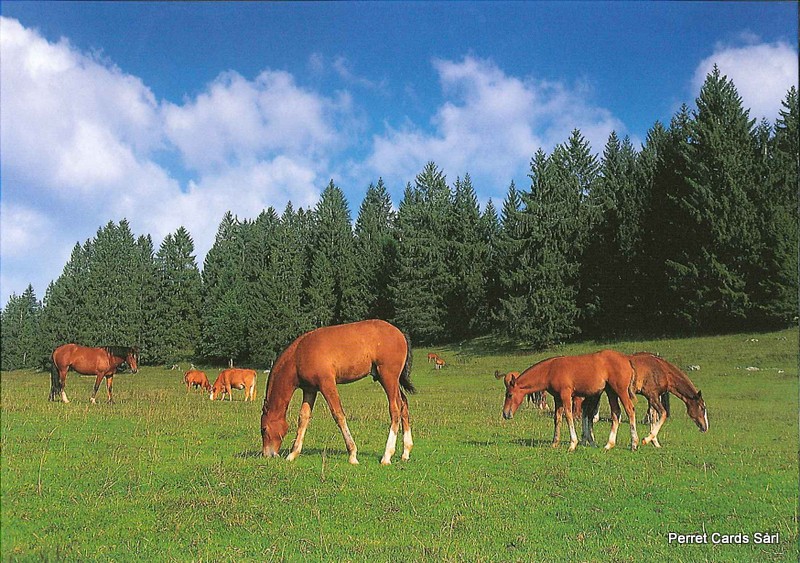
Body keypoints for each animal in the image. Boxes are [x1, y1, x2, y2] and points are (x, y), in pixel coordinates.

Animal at [261, 319, 414, 465]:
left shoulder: (327, 384)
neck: (299, 354)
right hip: (390, 381)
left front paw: (352, 455)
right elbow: (303, 418)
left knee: (395, 410)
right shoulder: (310, 390)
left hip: (388, 378)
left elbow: (338, 415)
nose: (266, 455)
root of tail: (400, 333)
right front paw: (293, 454)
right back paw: (405, 452)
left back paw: (387, 456)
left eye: (263, 429)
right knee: (404, 405)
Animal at [496, 350, 639, 451]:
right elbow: (557, 418)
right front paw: (555, 443)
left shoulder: (566, 395)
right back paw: (609, 444)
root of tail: (627, 360)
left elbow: (569, 416)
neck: (550, 370)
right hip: (611, 392)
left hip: (620, 391)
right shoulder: (557, 398)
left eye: (509, 395)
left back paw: (634, 444)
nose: (505, 413)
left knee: (630, 410)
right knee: (616, 413)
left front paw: (572, 444)